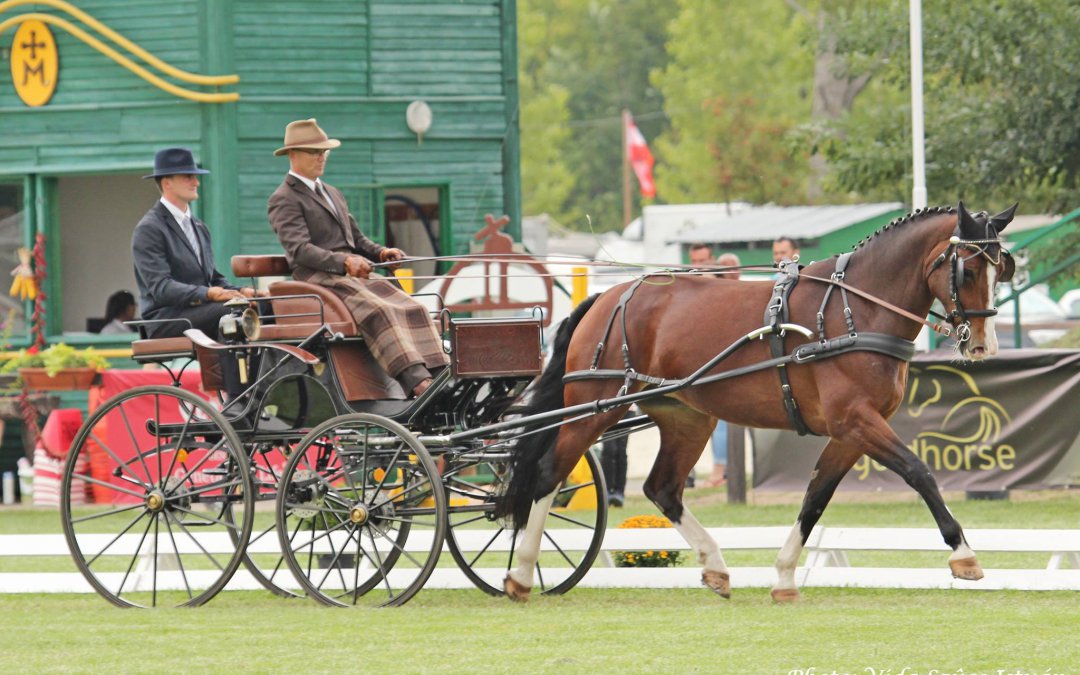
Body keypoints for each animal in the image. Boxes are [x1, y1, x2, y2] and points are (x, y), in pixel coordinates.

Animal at [495, 202, 1018, 602]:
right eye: (969, 268)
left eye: (1002, 269)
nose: (983, 346)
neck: (857, 311)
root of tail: (611, 297)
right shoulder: (857, 422)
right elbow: (918, 471)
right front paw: (964, 554)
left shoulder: (850, 433)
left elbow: (816, 498)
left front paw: (784, 576)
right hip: (595, 408)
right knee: (549, 474)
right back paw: (519, 575)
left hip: (687, 418)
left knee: (663, 488)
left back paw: (715, 566)